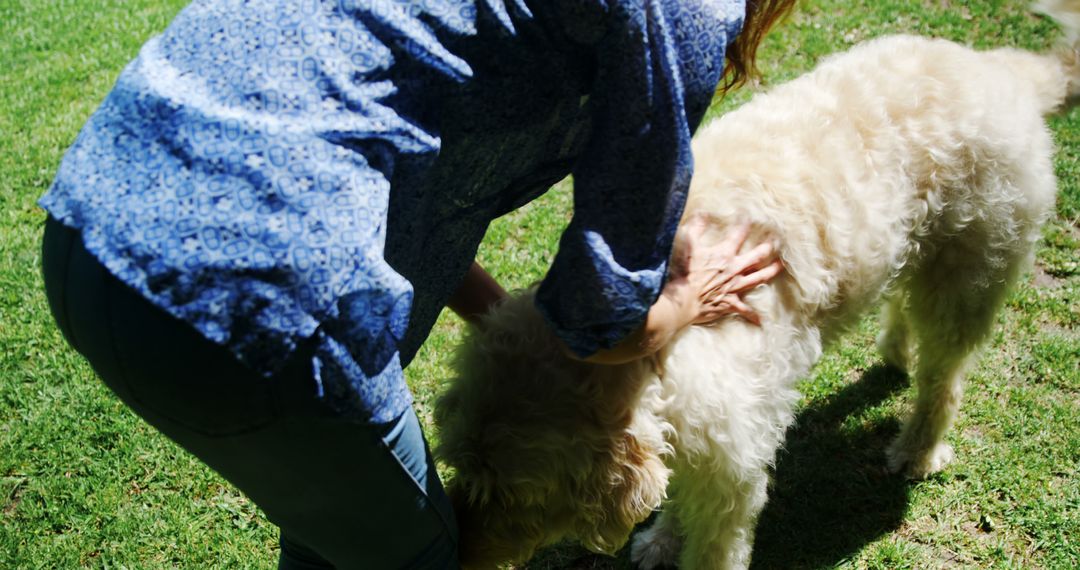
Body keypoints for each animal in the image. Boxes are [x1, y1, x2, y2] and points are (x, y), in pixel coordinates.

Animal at [436, 3, 1080, 565]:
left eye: (510, 491)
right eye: (461, 466)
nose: (459, 553)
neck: (654, 351)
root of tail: (1000, 71)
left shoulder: (731, 469)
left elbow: (714, 544)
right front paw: (662, 539)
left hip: (968, 275)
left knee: (943, 378)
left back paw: (917, 447)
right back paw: (895, 349)